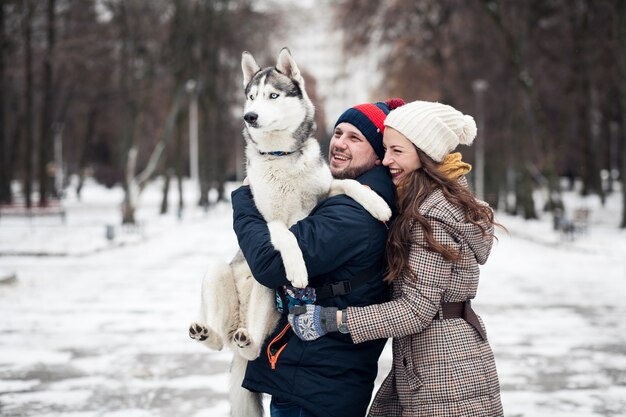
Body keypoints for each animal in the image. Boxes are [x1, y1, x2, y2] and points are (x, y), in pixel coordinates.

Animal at [188, 48, 388, 416]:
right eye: (251, 96)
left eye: (273, 96)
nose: (249, 116)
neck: (280, 156)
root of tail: (237, 324)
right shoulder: (268, 219)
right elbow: (286, 235)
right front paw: (297, 268)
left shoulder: (323, 194)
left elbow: (349, 183)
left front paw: (378, 204)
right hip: (220, 272)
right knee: (219, 341)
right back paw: (206, 332)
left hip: (265, 294)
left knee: (252, 346)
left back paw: (245, 339)